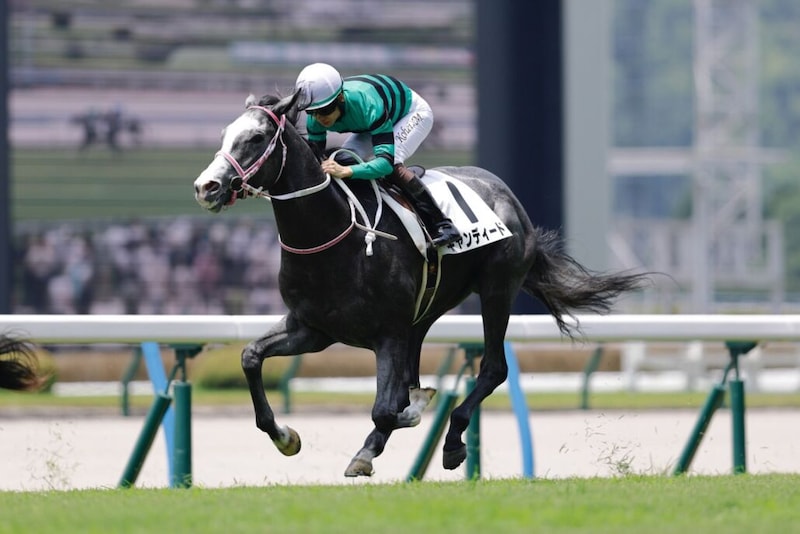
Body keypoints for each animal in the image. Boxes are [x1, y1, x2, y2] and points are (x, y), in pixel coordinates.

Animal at [193, 91, 649, 477]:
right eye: (224, 134)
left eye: (255, 137)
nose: (206, 187)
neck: (335, 236)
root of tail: (507, 196)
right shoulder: (313, 328)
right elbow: (251, 357)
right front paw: (286, 437)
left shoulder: (387, 332)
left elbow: (385, 408)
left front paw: (393, 430)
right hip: (427, 309)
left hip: (497, 290)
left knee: (493, 368)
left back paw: (452, 442)